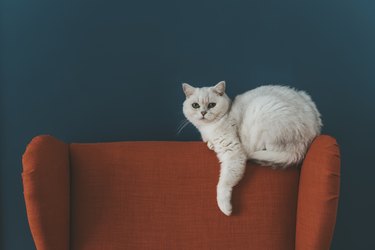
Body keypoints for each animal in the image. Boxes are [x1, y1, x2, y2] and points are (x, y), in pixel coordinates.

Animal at [182, 81, 324, 216]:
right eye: (195, 105)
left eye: (212, 105)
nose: (203, 113)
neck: (208, 129)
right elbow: (209, 142)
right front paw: (210, 144)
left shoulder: (233, 152)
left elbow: (224, 183)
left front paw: (225, 208)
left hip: (263, 112)